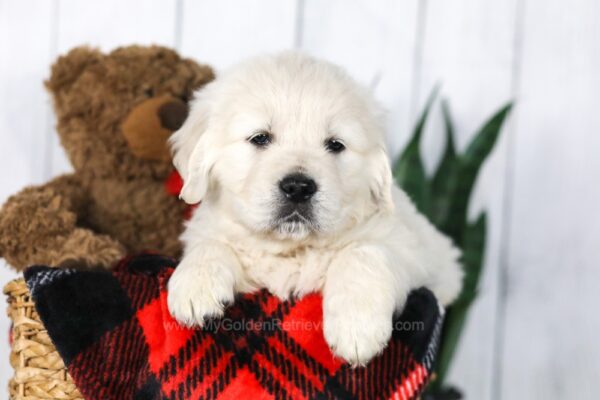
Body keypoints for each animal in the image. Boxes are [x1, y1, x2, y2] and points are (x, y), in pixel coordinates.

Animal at [166, 53, 462, 366]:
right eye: (260, 138)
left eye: (335, 144)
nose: (298, 188)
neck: (292, 248)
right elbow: (209, 244)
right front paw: (195, 285)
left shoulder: (423, 255)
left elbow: (364, 251)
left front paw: (356, 328)